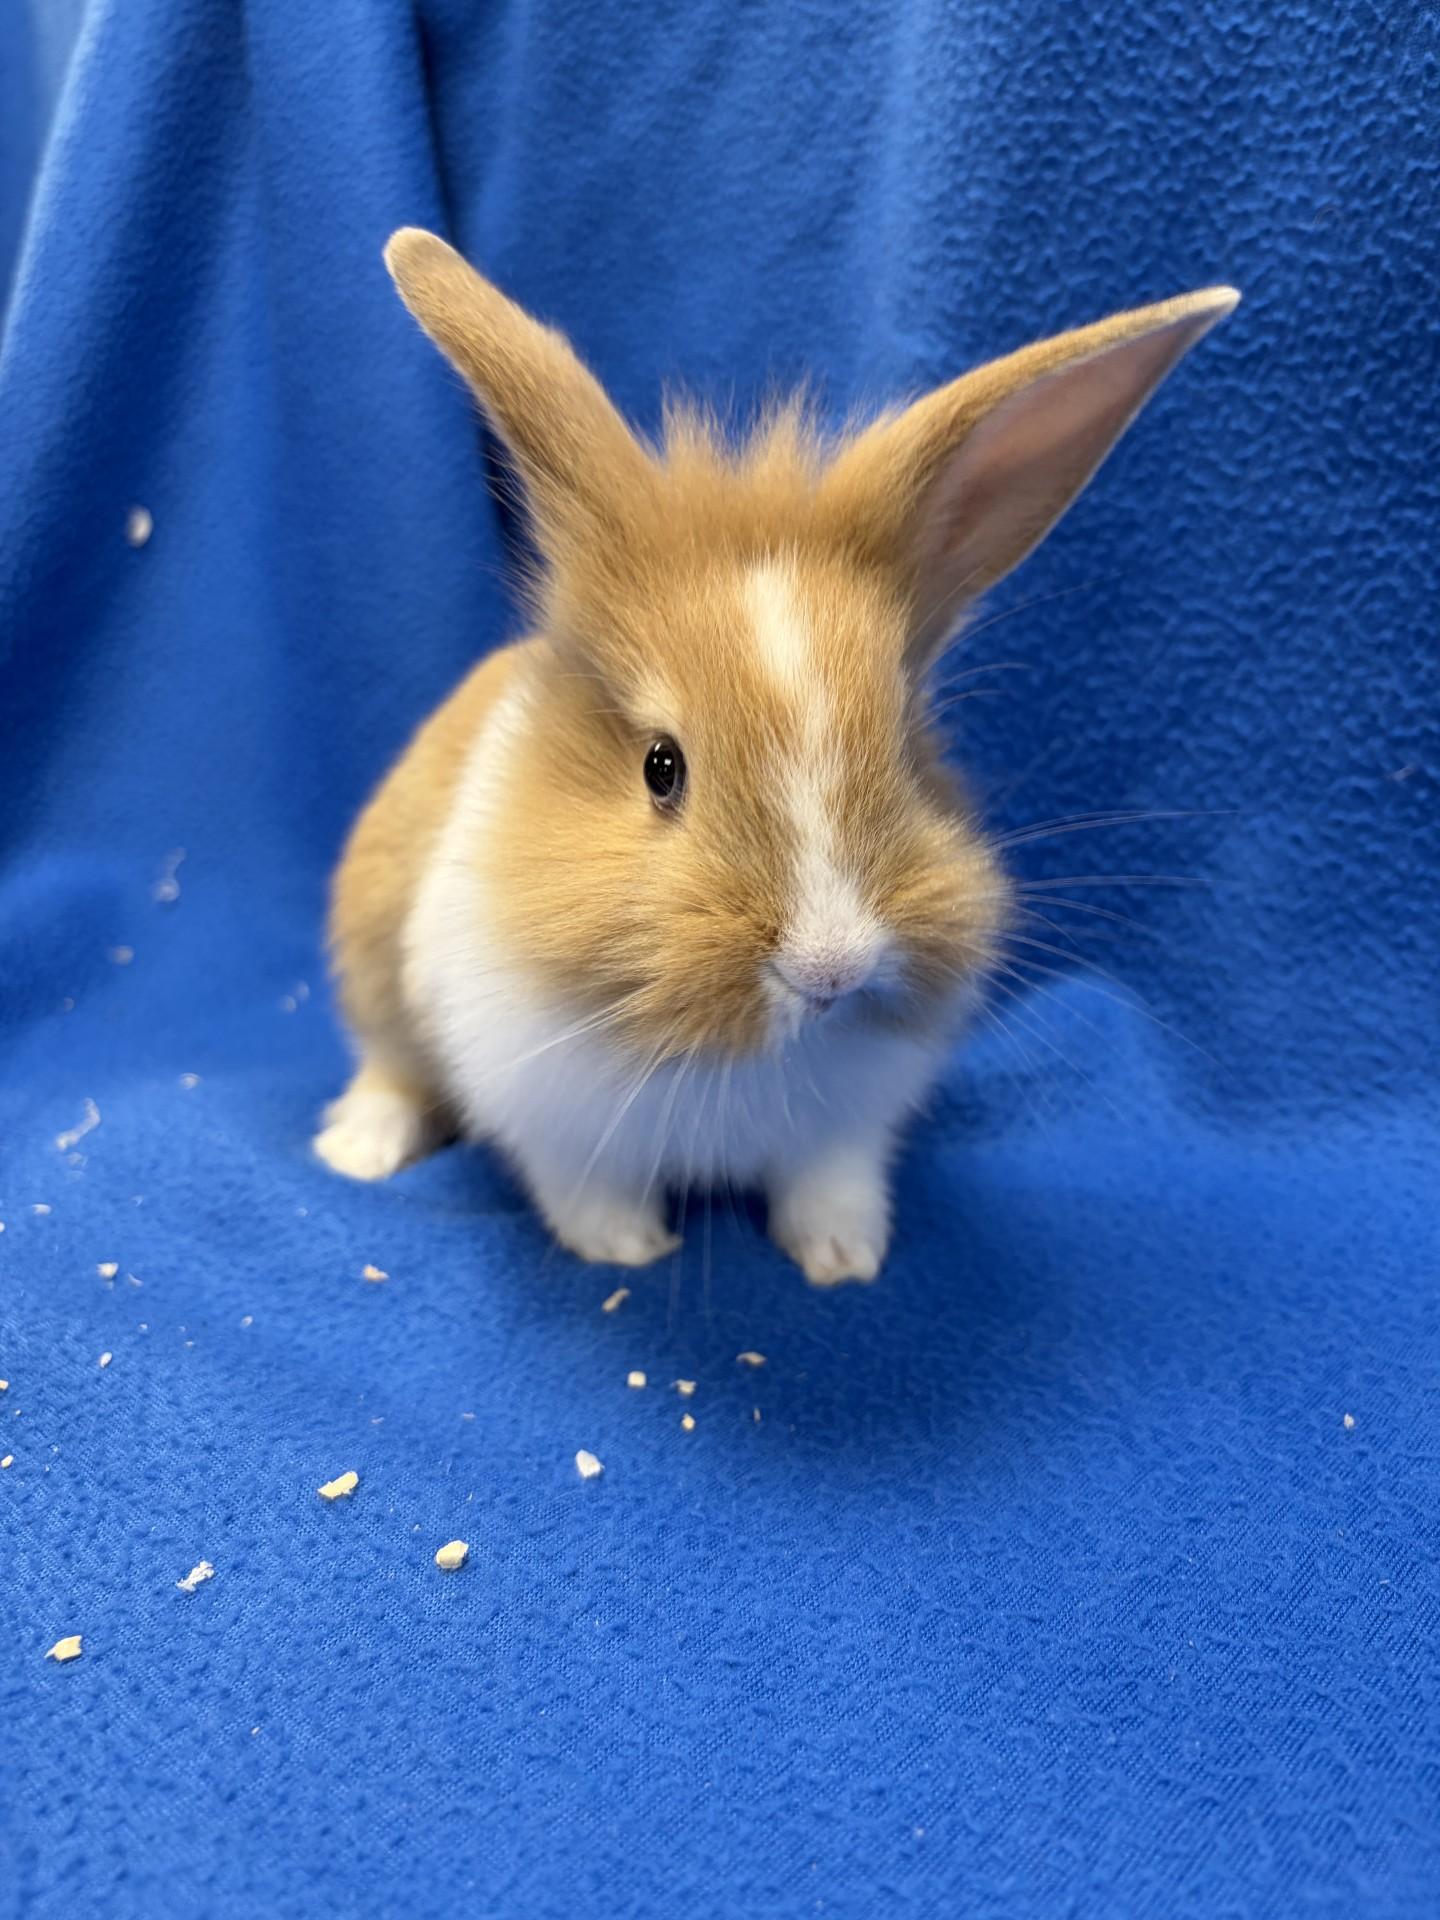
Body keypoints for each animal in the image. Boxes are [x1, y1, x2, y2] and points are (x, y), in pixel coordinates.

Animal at [314, 227, 1237, 1284]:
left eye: (907, 750)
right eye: (661, 767)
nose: (831, 969)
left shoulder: (845, 1133)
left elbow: (829, 1182)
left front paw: (846, 1259)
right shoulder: (554, 1122)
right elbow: (585, 1190)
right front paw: (630, 1252)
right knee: (389, 1069)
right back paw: (356, 1152)